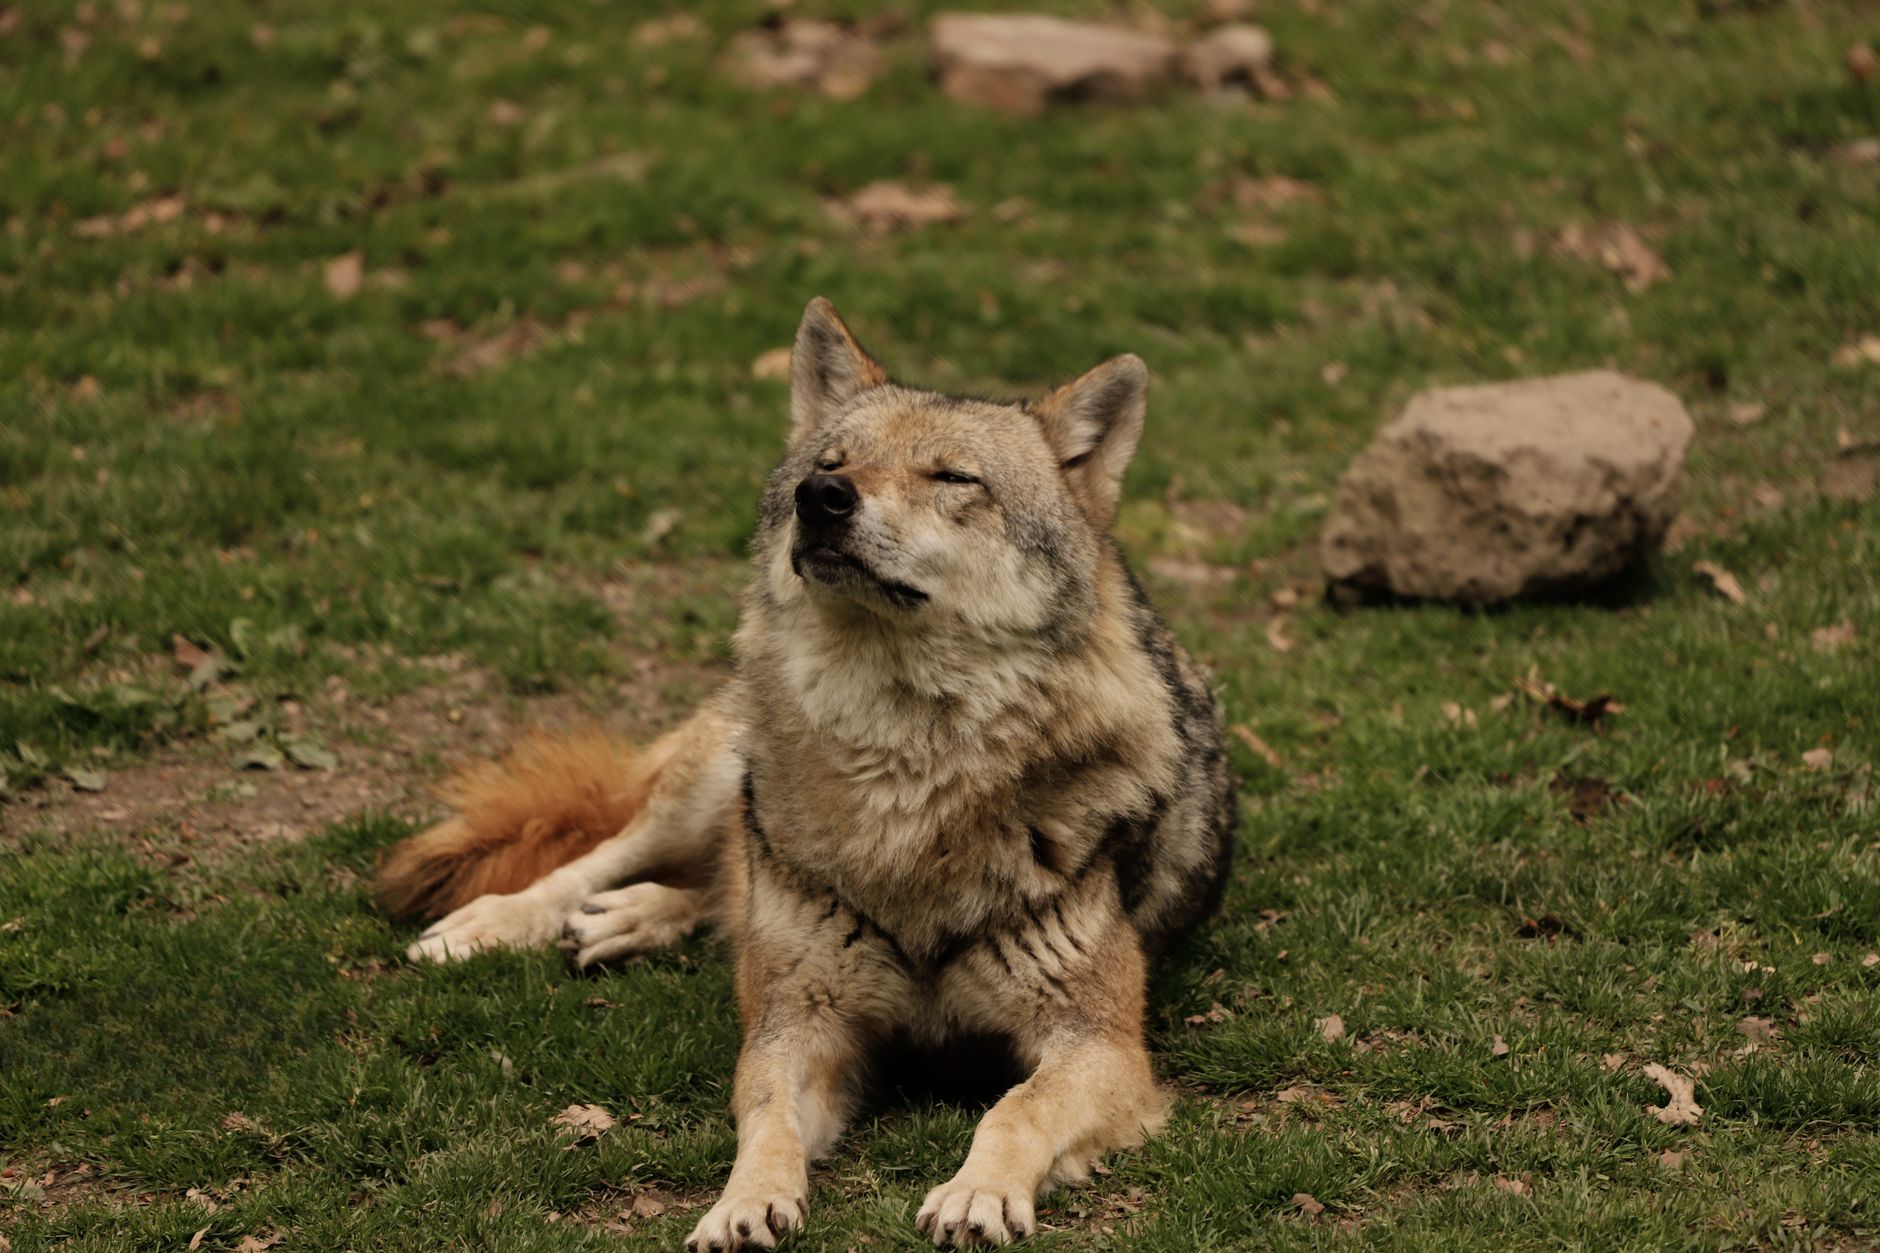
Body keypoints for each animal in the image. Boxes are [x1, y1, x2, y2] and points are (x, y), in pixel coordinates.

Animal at [377, 298, 1238, 1250]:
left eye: (953, 477)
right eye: (833, 463)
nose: (820, 498)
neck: (905, 772)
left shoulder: (1101, 1044)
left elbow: (1015, 1108)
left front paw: (977, 1191)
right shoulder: (797, 1026)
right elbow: (765, 1118)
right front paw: (743, 1202)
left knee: (718, 894)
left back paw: (635, 918)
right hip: (719, 773)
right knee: (614, 859)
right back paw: (496, 924)